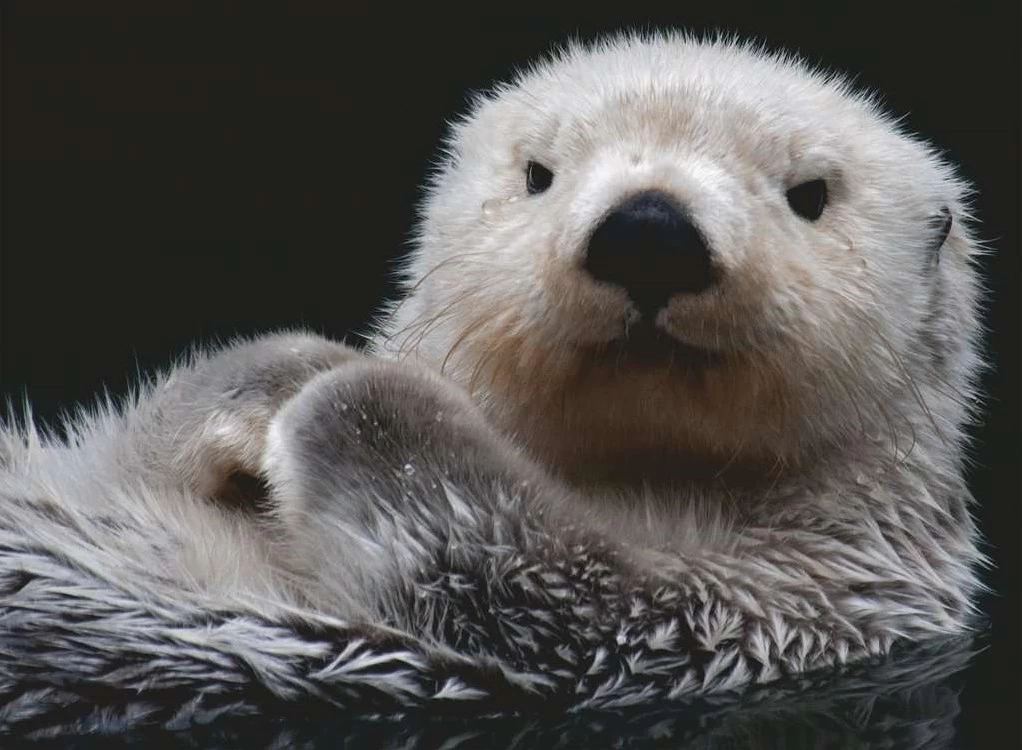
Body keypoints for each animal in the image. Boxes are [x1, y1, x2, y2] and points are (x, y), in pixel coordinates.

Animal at [0, 33, 985, 730]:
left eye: (811, 193)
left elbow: (527, 570)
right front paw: (281, 376)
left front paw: (349, 395)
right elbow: (131, 447)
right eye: (539, 173)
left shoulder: (773, 608)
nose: (650, 231)